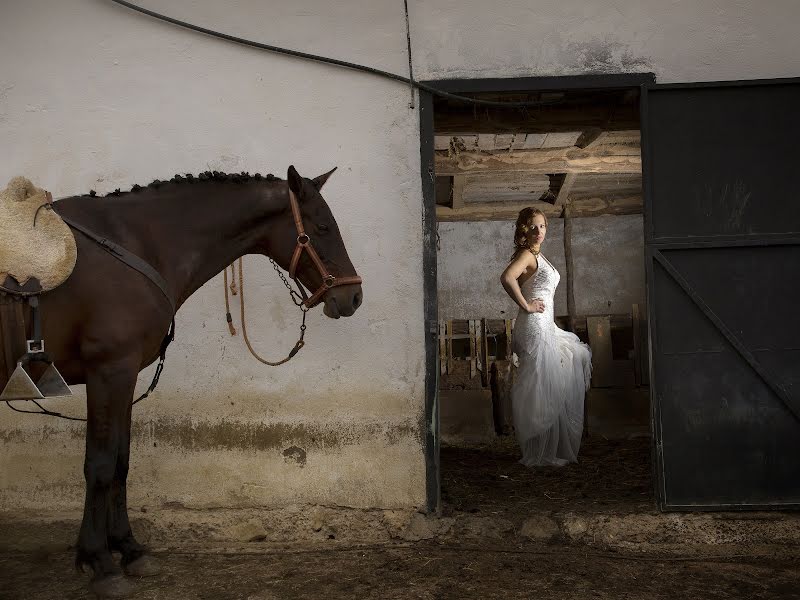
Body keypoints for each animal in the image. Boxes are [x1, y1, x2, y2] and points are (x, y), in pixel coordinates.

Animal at [0, 164, 362, 596]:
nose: (353, 297)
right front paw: (100, 562)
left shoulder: (124, 378)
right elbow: (100, 464)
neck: (134, 245)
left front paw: (130, 550)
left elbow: (121, 462)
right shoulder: (109, 371)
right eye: (322, 226)